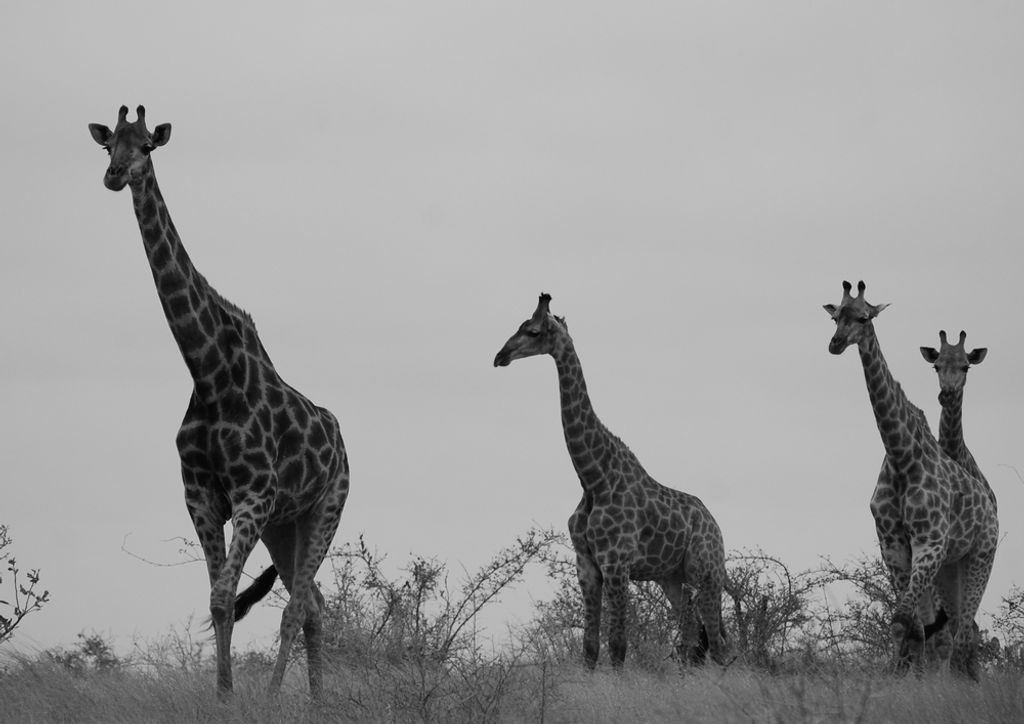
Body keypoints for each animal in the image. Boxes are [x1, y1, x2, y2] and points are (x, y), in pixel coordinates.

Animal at [88, 105, 350, 698]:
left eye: (147, 146)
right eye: (109, 144)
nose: (115, 176)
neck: (208, 373)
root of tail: (342, 445)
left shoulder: (253, 494)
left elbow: (226, 597)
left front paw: (238, 698)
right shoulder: (201, 496)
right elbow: (217, 601)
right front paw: (223, 697)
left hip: (325, 508)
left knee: (298, 606)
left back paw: (279, 699)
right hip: (284, 525)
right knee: (314, 603)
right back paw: (317, 703)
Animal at [494, 293, 727, 668]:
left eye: (532, 331)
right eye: (520, 325)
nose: (500, 356)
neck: (593, 478)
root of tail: (715, 523)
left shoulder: (616, 563)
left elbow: (618, 646)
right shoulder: (587, 565)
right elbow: (590, 648)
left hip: (706, 571)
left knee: (718, 643)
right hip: (671, 577)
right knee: (692, 638)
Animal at [824, 281, 998, 679]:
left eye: (864, 317)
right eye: (835, 315)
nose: (836, 343)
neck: (901, 455)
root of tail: (989, 506)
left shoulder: (929, 542)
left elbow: (906, 619)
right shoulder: (893, 546)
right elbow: (910, 625)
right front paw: (905, 676)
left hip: (982, 555)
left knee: (965, 632)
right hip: (950, 568)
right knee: (955, 630)